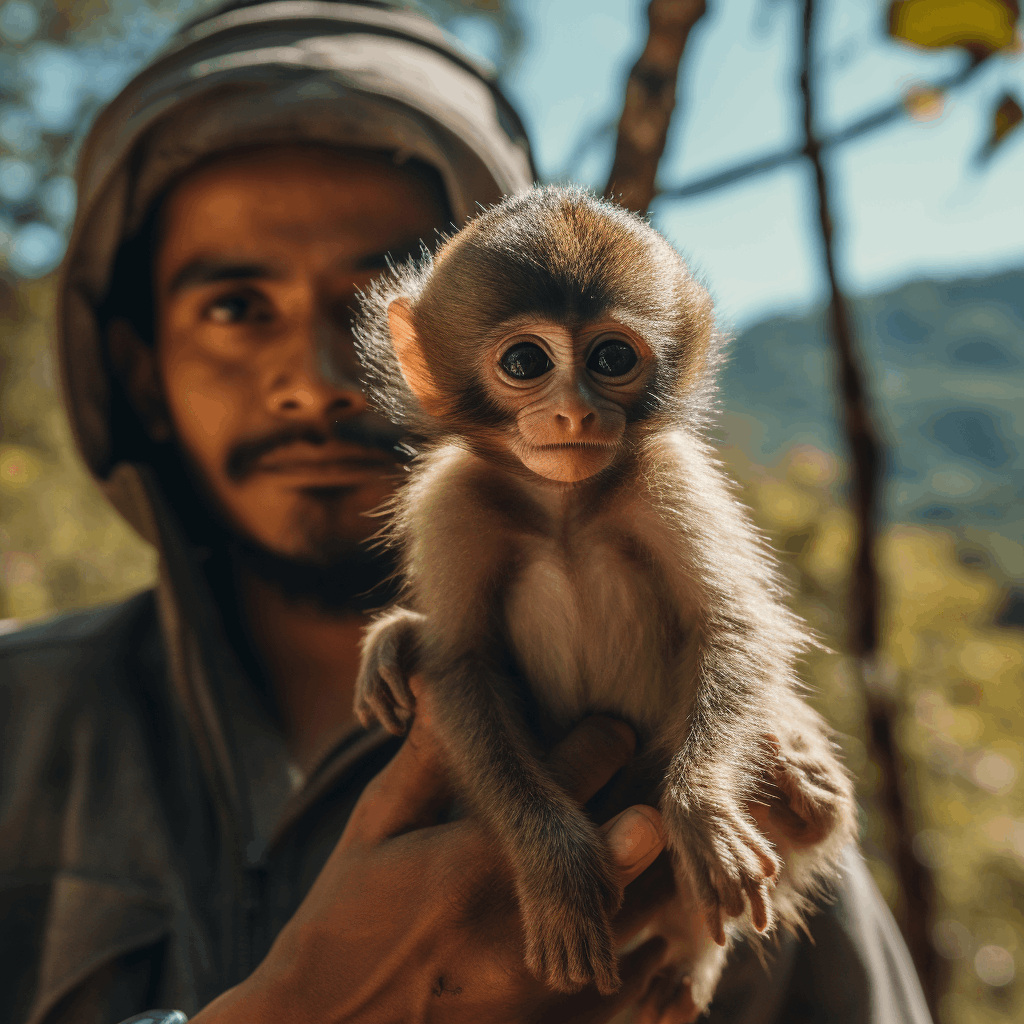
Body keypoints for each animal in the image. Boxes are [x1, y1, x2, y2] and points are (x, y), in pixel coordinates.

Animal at [352, 188, 856, 1011]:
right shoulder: (454, 499)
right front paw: (555, 869)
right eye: (526, 362)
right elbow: (460, 663)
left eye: (612, 358)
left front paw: (701, 807)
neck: (565, 508)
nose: (576, 414)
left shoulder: (666, 473)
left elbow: (733, 625)